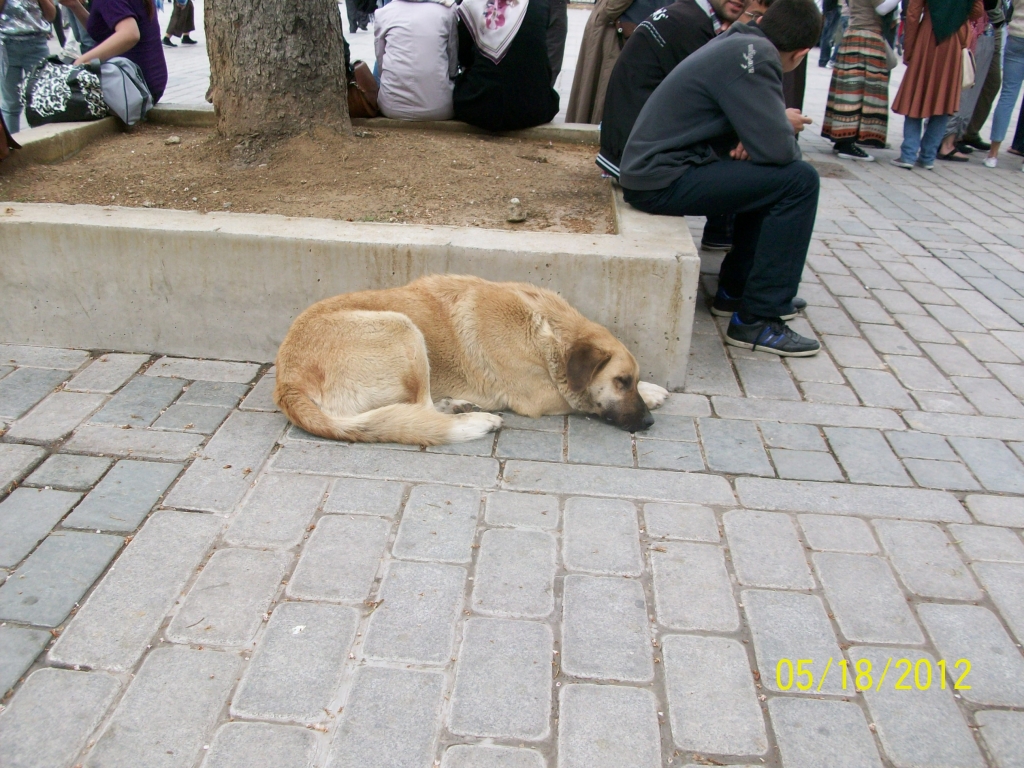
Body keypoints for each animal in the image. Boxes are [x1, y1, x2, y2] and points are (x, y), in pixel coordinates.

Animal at [274, 274, 671, 444]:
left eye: (631, 380)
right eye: (620, 382)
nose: (649, 423)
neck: (545, 327)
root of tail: (285, 381)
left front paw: (652, 390)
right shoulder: (539, 397)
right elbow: (579, 398)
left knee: (421, 406)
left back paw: (457, 405)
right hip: (403, 329)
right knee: (421, 409)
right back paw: (471, 419)